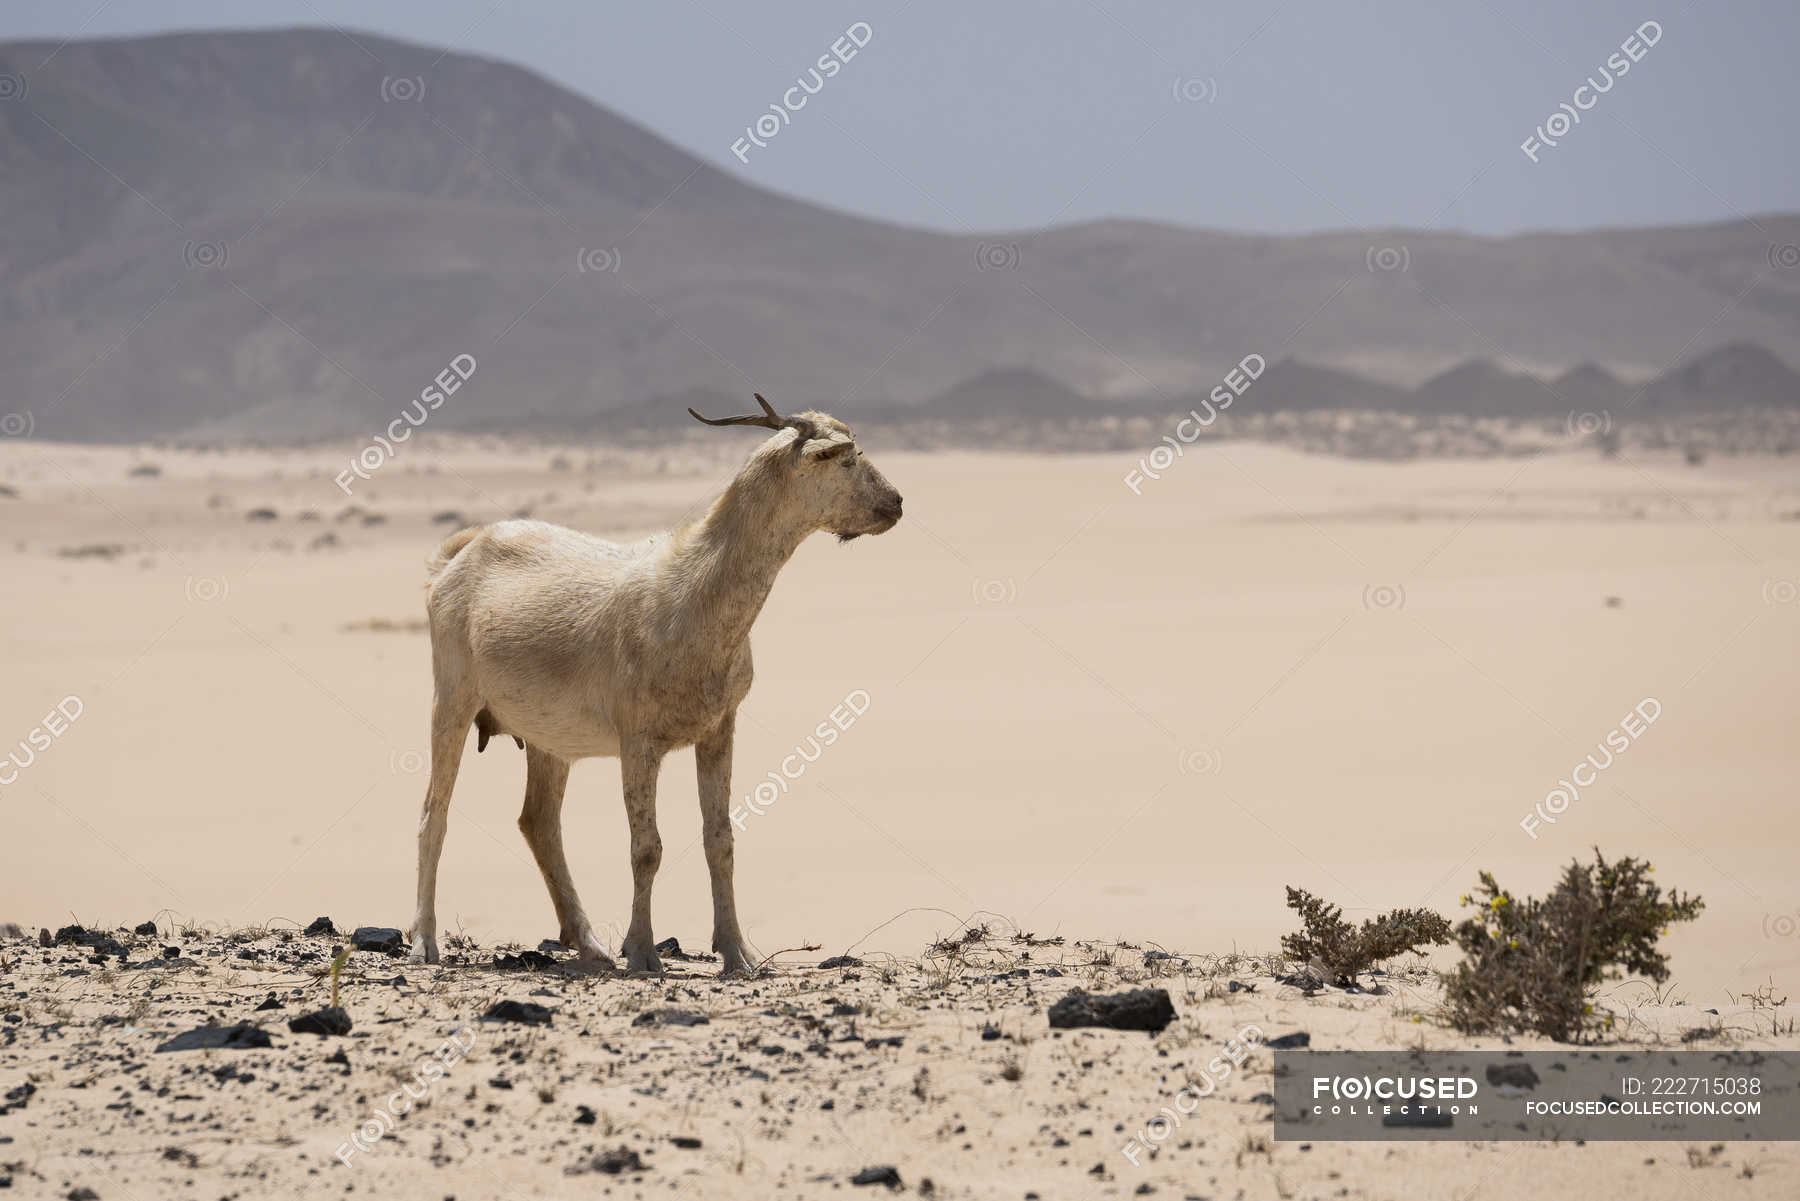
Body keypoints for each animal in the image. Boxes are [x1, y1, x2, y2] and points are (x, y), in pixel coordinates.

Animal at [414, 396, 907, 979]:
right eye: (847, 459)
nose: (895, 503)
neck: (690, 590)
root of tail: (455, 559)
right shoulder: (638, 740)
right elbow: (646, 847)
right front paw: (644, 951)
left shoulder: (719, 728)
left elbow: (721, 839)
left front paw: (737, 953)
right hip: (453, 697)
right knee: (434, 813)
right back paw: (424, 941)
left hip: (546, 739)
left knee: (539, 822)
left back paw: (590, 946)